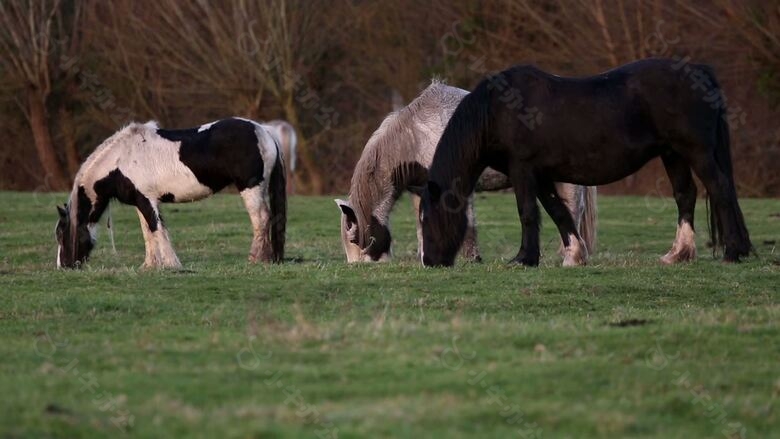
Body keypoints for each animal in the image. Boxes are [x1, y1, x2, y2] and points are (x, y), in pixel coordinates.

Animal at [336, 81, 596, 264]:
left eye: (354, 239)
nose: (358, 266)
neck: (417, 137)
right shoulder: (421, 192)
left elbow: (468, 225)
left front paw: (471, 259)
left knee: (573, 210)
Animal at [418, 57, 752, 268]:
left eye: (426, 218)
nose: (430, 262)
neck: (497, 111)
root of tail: (698, 71)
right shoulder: (541, 174)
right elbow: (557, 211)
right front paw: (575, 255)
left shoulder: (522, 169)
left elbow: (527, 212)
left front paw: (524, 258)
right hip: (673, 154)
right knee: (686, 195)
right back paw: (678, 255)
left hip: (696, 151)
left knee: (720, 189)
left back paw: (733, 252)